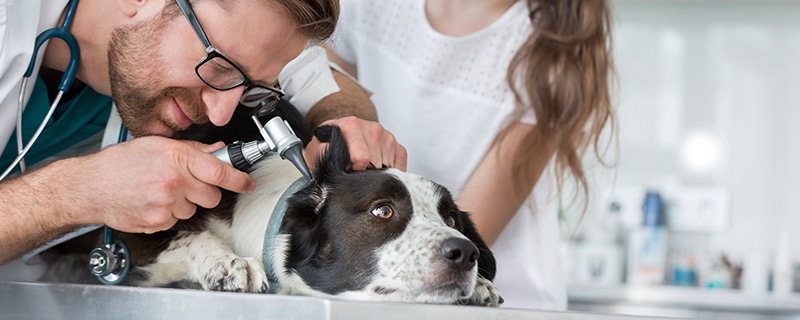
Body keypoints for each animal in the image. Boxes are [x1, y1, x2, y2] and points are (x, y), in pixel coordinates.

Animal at [113, 104, 504, 304]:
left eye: (451, 220)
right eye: (383, 210)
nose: (466, 253)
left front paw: (480, 285)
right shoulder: (138, 222)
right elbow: (191, 235)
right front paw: (228, 261)